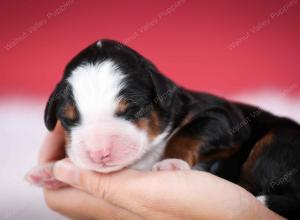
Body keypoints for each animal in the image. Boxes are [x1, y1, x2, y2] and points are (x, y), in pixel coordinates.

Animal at [26, 39, 300, 218]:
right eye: (68, 119)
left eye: (132, 111)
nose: (98, 153)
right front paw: (49, 171)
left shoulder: (224, 118)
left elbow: (189, 132)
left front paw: (172, 163)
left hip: (278, 142)